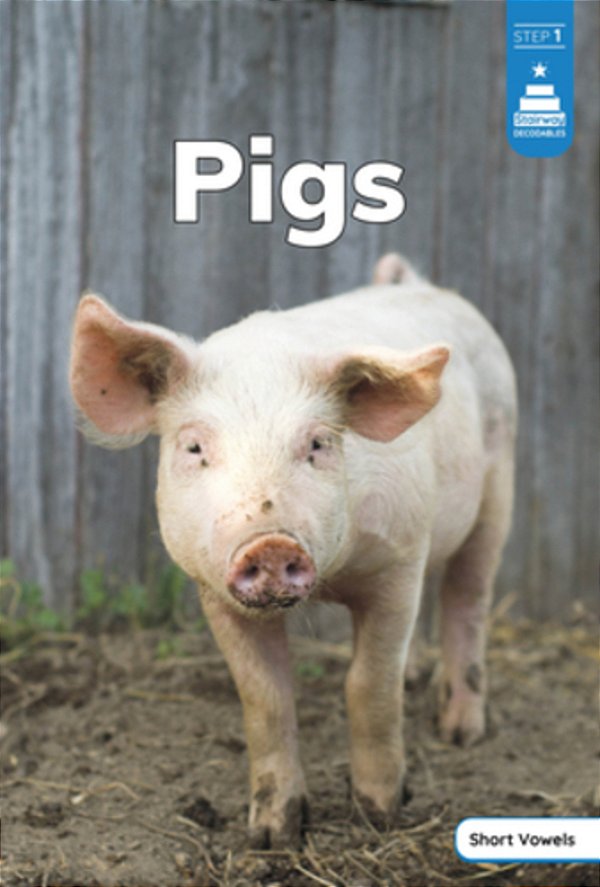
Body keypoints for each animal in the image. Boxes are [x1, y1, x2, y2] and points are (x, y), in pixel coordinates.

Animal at [69, 253, 517, 848]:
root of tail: (420, 285)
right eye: (194, 447)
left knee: (468, 598)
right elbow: (265, 697)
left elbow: (368, 684)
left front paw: (380, 814)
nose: (270, 541)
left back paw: (461, 733)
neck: (334, 578)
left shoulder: (399, 557)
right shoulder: (213, 590)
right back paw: (418, 681)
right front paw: (272, 835)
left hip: (499, 481)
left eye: (318, 444)